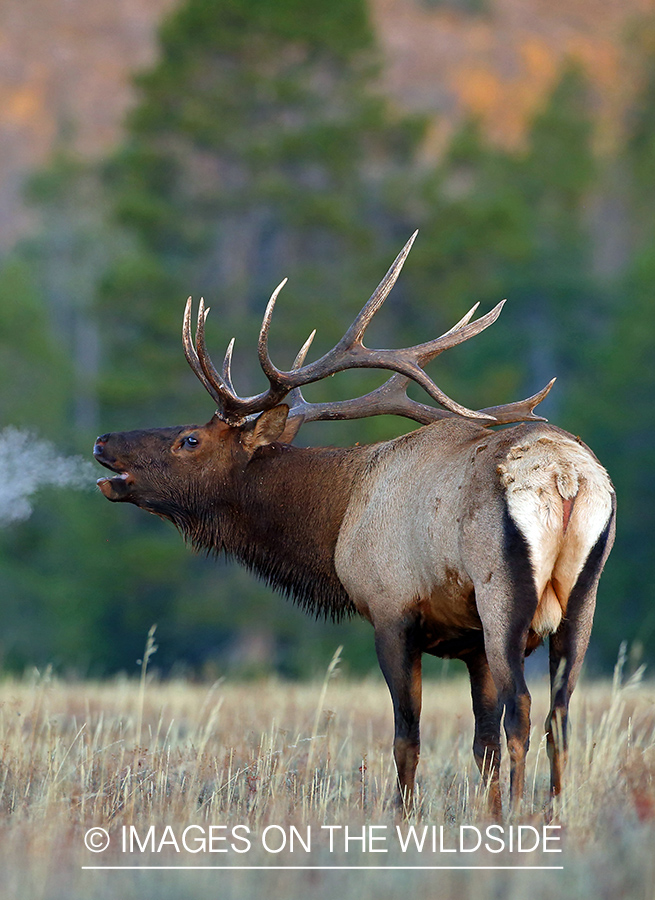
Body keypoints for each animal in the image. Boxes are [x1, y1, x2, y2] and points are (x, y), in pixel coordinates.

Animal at [95, 232, 616, 816]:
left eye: (190, 439)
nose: (103, 441)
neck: (336, 519)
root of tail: (566, 477)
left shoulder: (391, 611)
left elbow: (408, 738)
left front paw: (405, 814)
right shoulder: (471, 644)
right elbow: (481, 746)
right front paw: (486, 814)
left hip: (501, 590)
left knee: (523, 707)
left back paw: (525, 814)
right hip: (584, 597)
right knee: (560, 714)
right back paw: (555, 811)